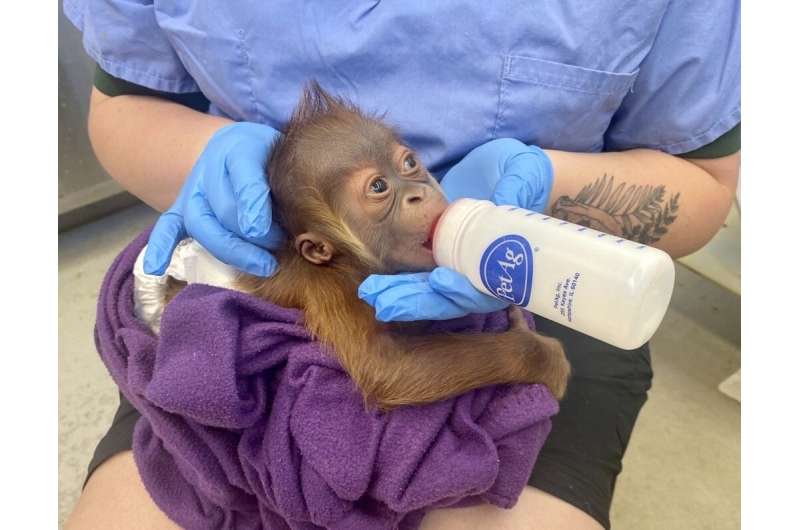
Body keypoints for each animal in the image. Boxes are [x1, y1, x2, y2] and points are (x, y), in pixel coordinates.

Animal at [164, 82, 570, 411]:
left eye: (409, 163)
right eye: (378, 187)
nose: (419, 194)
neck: (349, 264)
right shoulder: (331, 290)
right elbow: (389, 367)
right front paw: (541, 355)